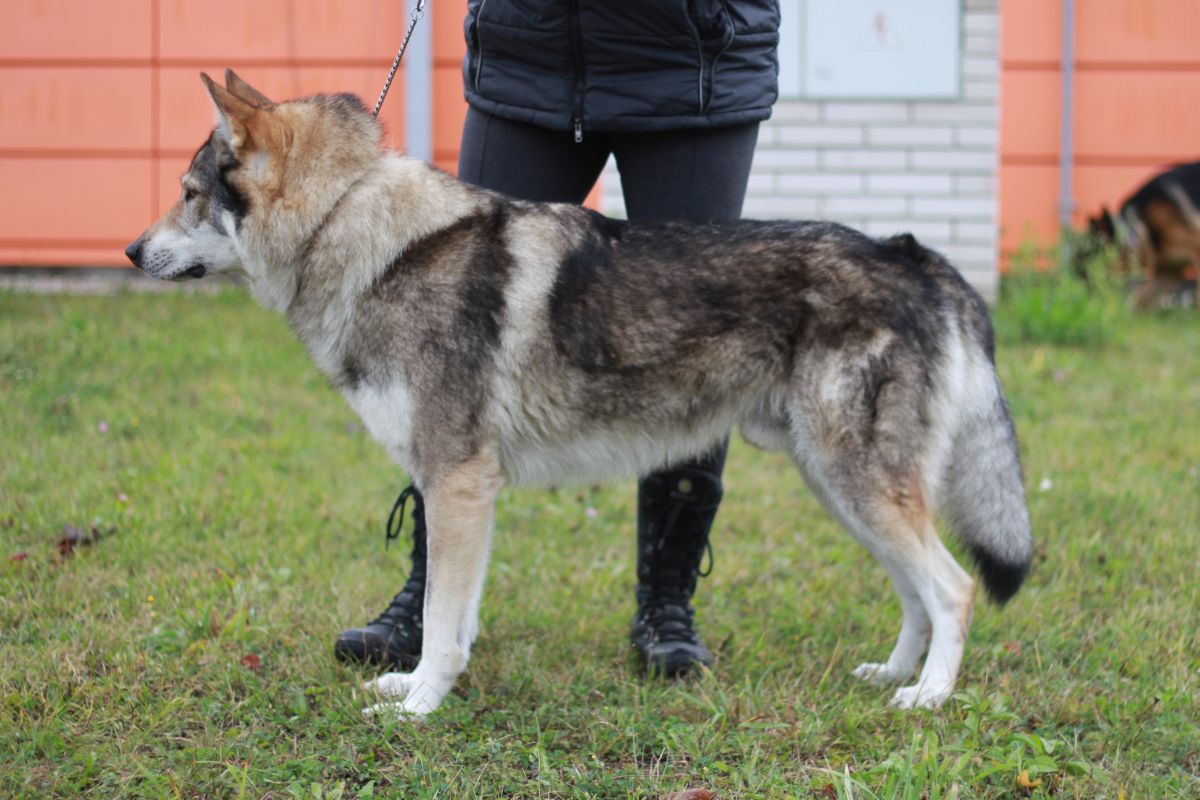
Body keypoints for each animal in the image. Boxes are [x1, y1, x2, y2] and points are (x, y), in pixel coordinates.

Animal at [126, 71, 1036, 714]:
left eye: (188, 193)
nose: (131, 251)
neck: (361, 231)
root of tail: (915, 255)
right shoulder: (460, 488)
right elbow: (450, 613)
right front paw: (416, 685)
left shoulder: (458, 480)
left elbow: (444, 628)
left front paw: (419, 708)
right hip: (841, 488)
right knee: (916, 593)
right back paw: (890, 674)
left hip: (857, 483)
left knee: (953, 589)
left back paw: (927, 698)